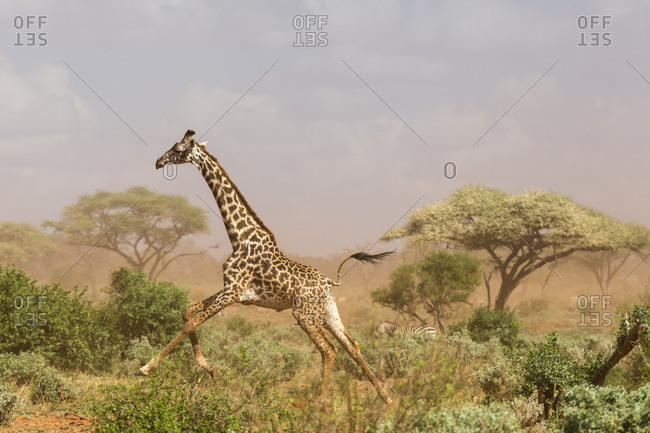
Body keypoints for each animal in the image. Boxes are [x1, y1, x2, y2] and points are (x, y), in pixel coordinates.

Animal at [139, 129, 395, 403]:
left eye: (178, 149)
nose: (158, 161)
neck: (239, 237)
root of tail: (328, 281)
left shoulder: (233, 292)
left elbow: (191, 323)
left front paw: (146, 367)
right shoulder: (233, 291)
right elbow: (187, 312)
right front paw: (208, 368)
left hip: (303, 314)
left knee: (329, 349)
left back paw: (320, 402)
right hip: (327, 311)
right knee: (352, 346)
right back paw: (387, 399)